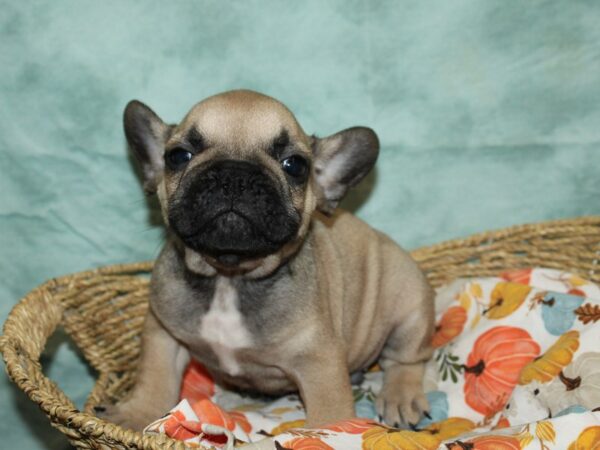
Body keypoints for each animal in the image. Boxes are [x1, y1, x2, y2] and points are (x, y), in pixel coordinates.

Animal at [99, 89, 436, 430]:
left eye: (295, 165)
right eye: (178, 156)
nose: (234, 174)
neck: (229, 276)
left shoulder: (320, 364)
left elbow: (329, 418)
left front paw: (332, 434)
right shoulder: (162, 332)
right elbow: (154, 377)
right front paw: (135, 415)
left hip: (410, 306)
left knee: (405, 359)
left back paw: (400, 396)